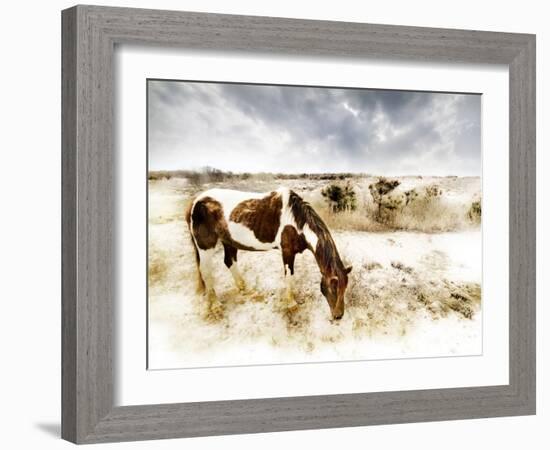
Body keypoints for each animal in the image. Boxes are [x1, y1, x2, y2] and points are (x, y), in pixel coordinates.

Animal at [185, 186, 354, 320]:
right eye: (333, 287)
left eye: (345, 288)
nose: (338, 316)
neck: (295, 221)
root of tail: (195, 202)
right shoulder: (287, 252)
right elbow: (289, 276)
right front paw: (291, 303)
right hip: (205, 246)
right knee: (206, 272)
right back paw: (215, 306)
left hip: (229, 241)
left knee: (229, 261)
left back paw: (245, 289)